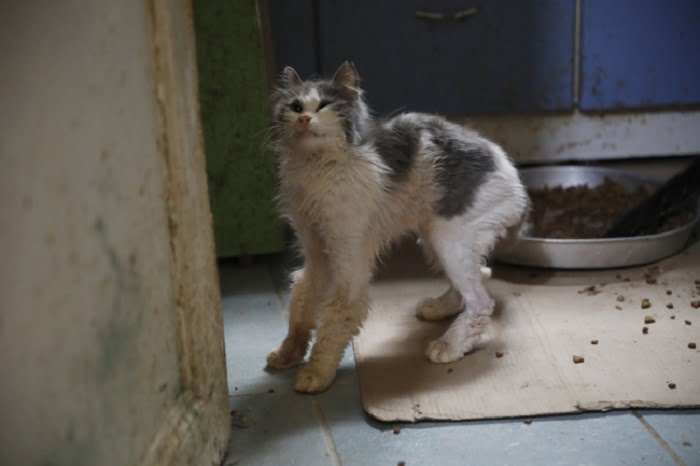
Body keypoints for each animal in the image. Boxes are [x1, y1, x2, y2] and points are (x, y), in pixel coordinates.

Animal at [266, 62, 528, 394]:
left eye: (324, 105)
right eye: (296, 107)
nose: (303, 119)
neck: (316, 168)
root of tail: (515, 177)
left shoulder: (349, 266)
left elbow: (334, 322)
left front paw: (316, 373)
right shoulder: (315, 256)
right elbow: (301, 304)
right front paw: (288, 353)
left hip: (448, 237)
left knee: (481, 302)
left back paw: (448, 345)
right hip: (434, 238)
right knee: (480, 275)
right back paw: (440, 309)